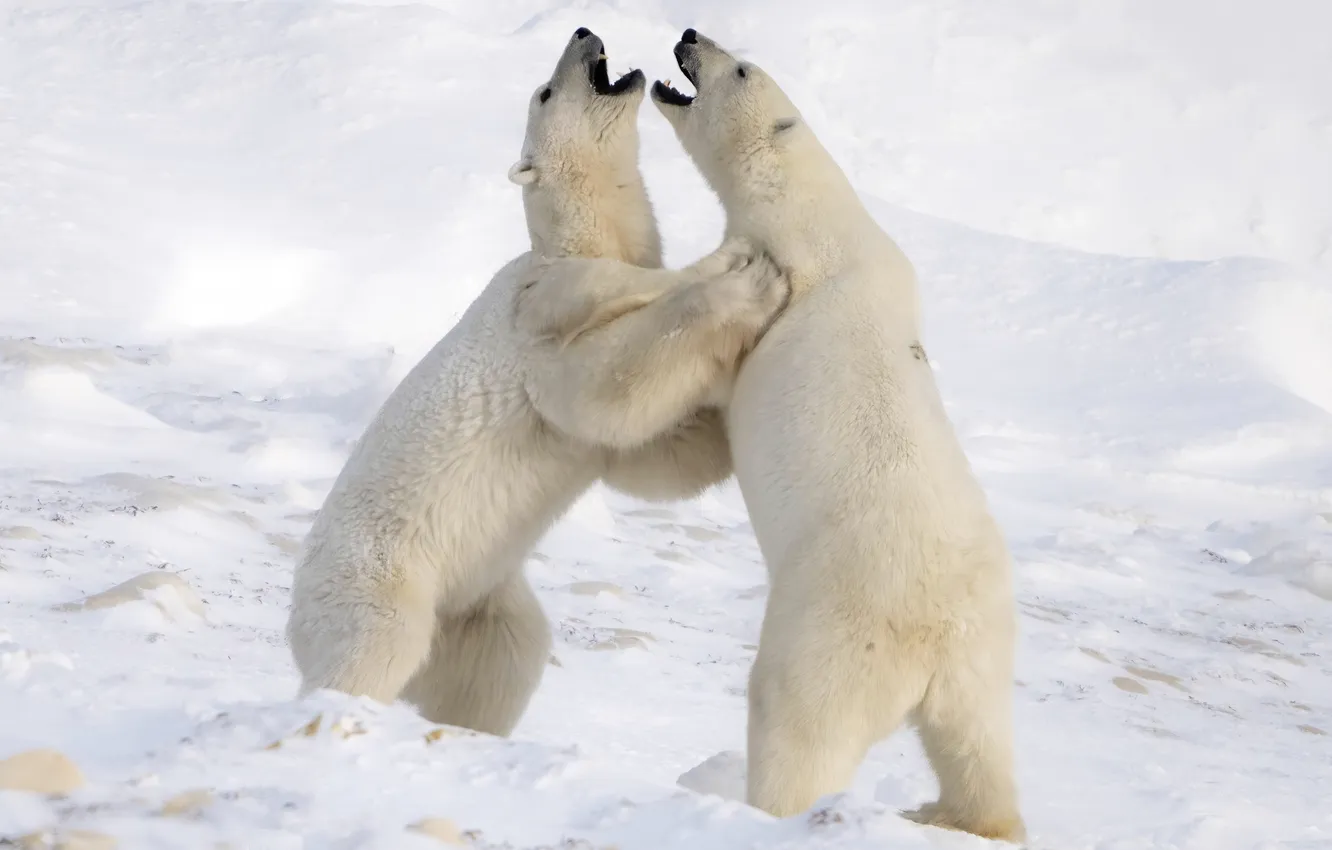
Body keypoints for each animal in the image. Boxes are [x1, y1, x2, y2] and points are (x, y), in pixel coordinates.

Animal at [285, 27, 789, 739]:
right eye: (546, 91)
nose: (583, 32)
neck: (574, 243)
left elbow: (648, 456)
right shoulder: (541, 311)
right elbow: (605, 383)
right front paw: (742, 272)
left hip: (479, 602)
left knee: (505, 659)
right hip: (377, 578)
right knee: (371, 646)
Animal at [647, 30, 1027, 843]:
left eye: (740, 67)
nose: (689, 35)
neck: (820, 220)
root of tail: (934, 635)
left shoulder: (774, 285)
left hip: (832, 629)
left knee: (795, 722)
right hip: (983, 652)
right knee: (977, 745)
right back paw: (955, 813)